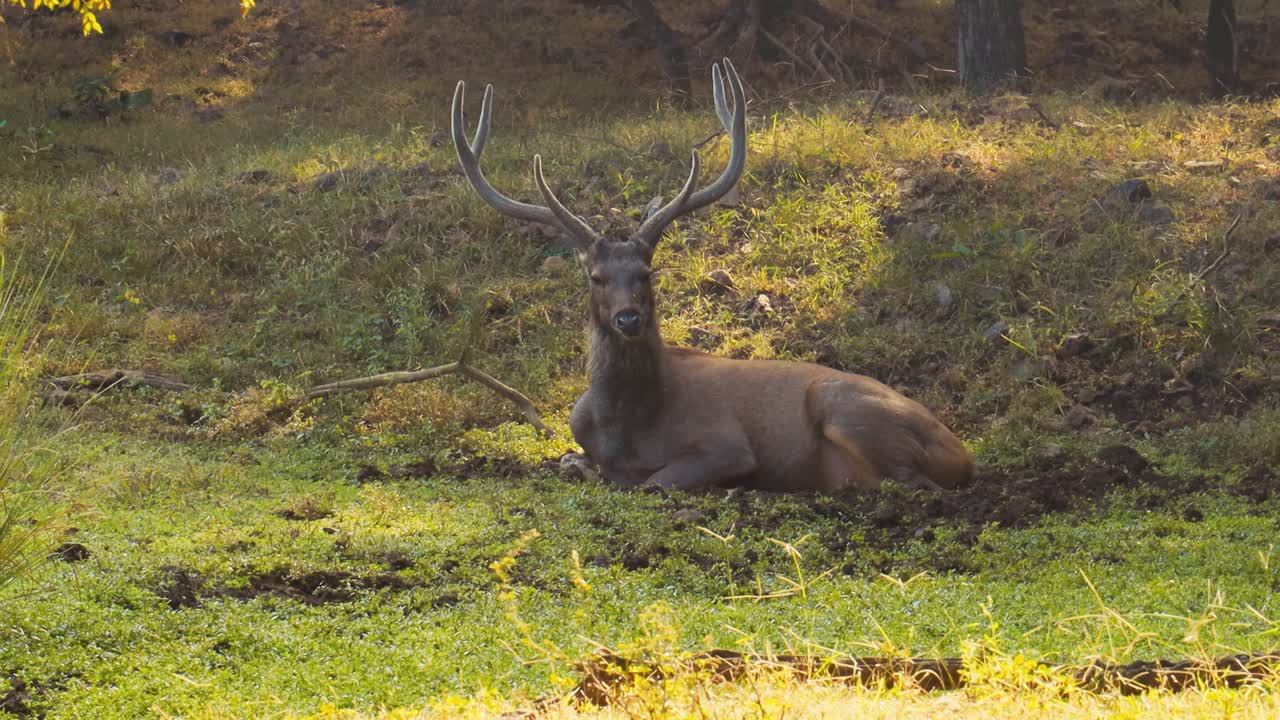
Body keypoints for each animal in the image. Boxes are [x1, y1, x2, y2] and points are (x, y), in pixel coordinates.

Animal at [450, 59, 974, 494]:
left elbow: (653, 482)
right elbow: (573, 463)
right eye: (595, 277)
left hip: (846, 408)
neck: (625, 427)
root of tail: (964, 453)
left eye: (646, 272)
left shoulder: (726, 445)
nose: (628, 319)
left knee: (916, 483)